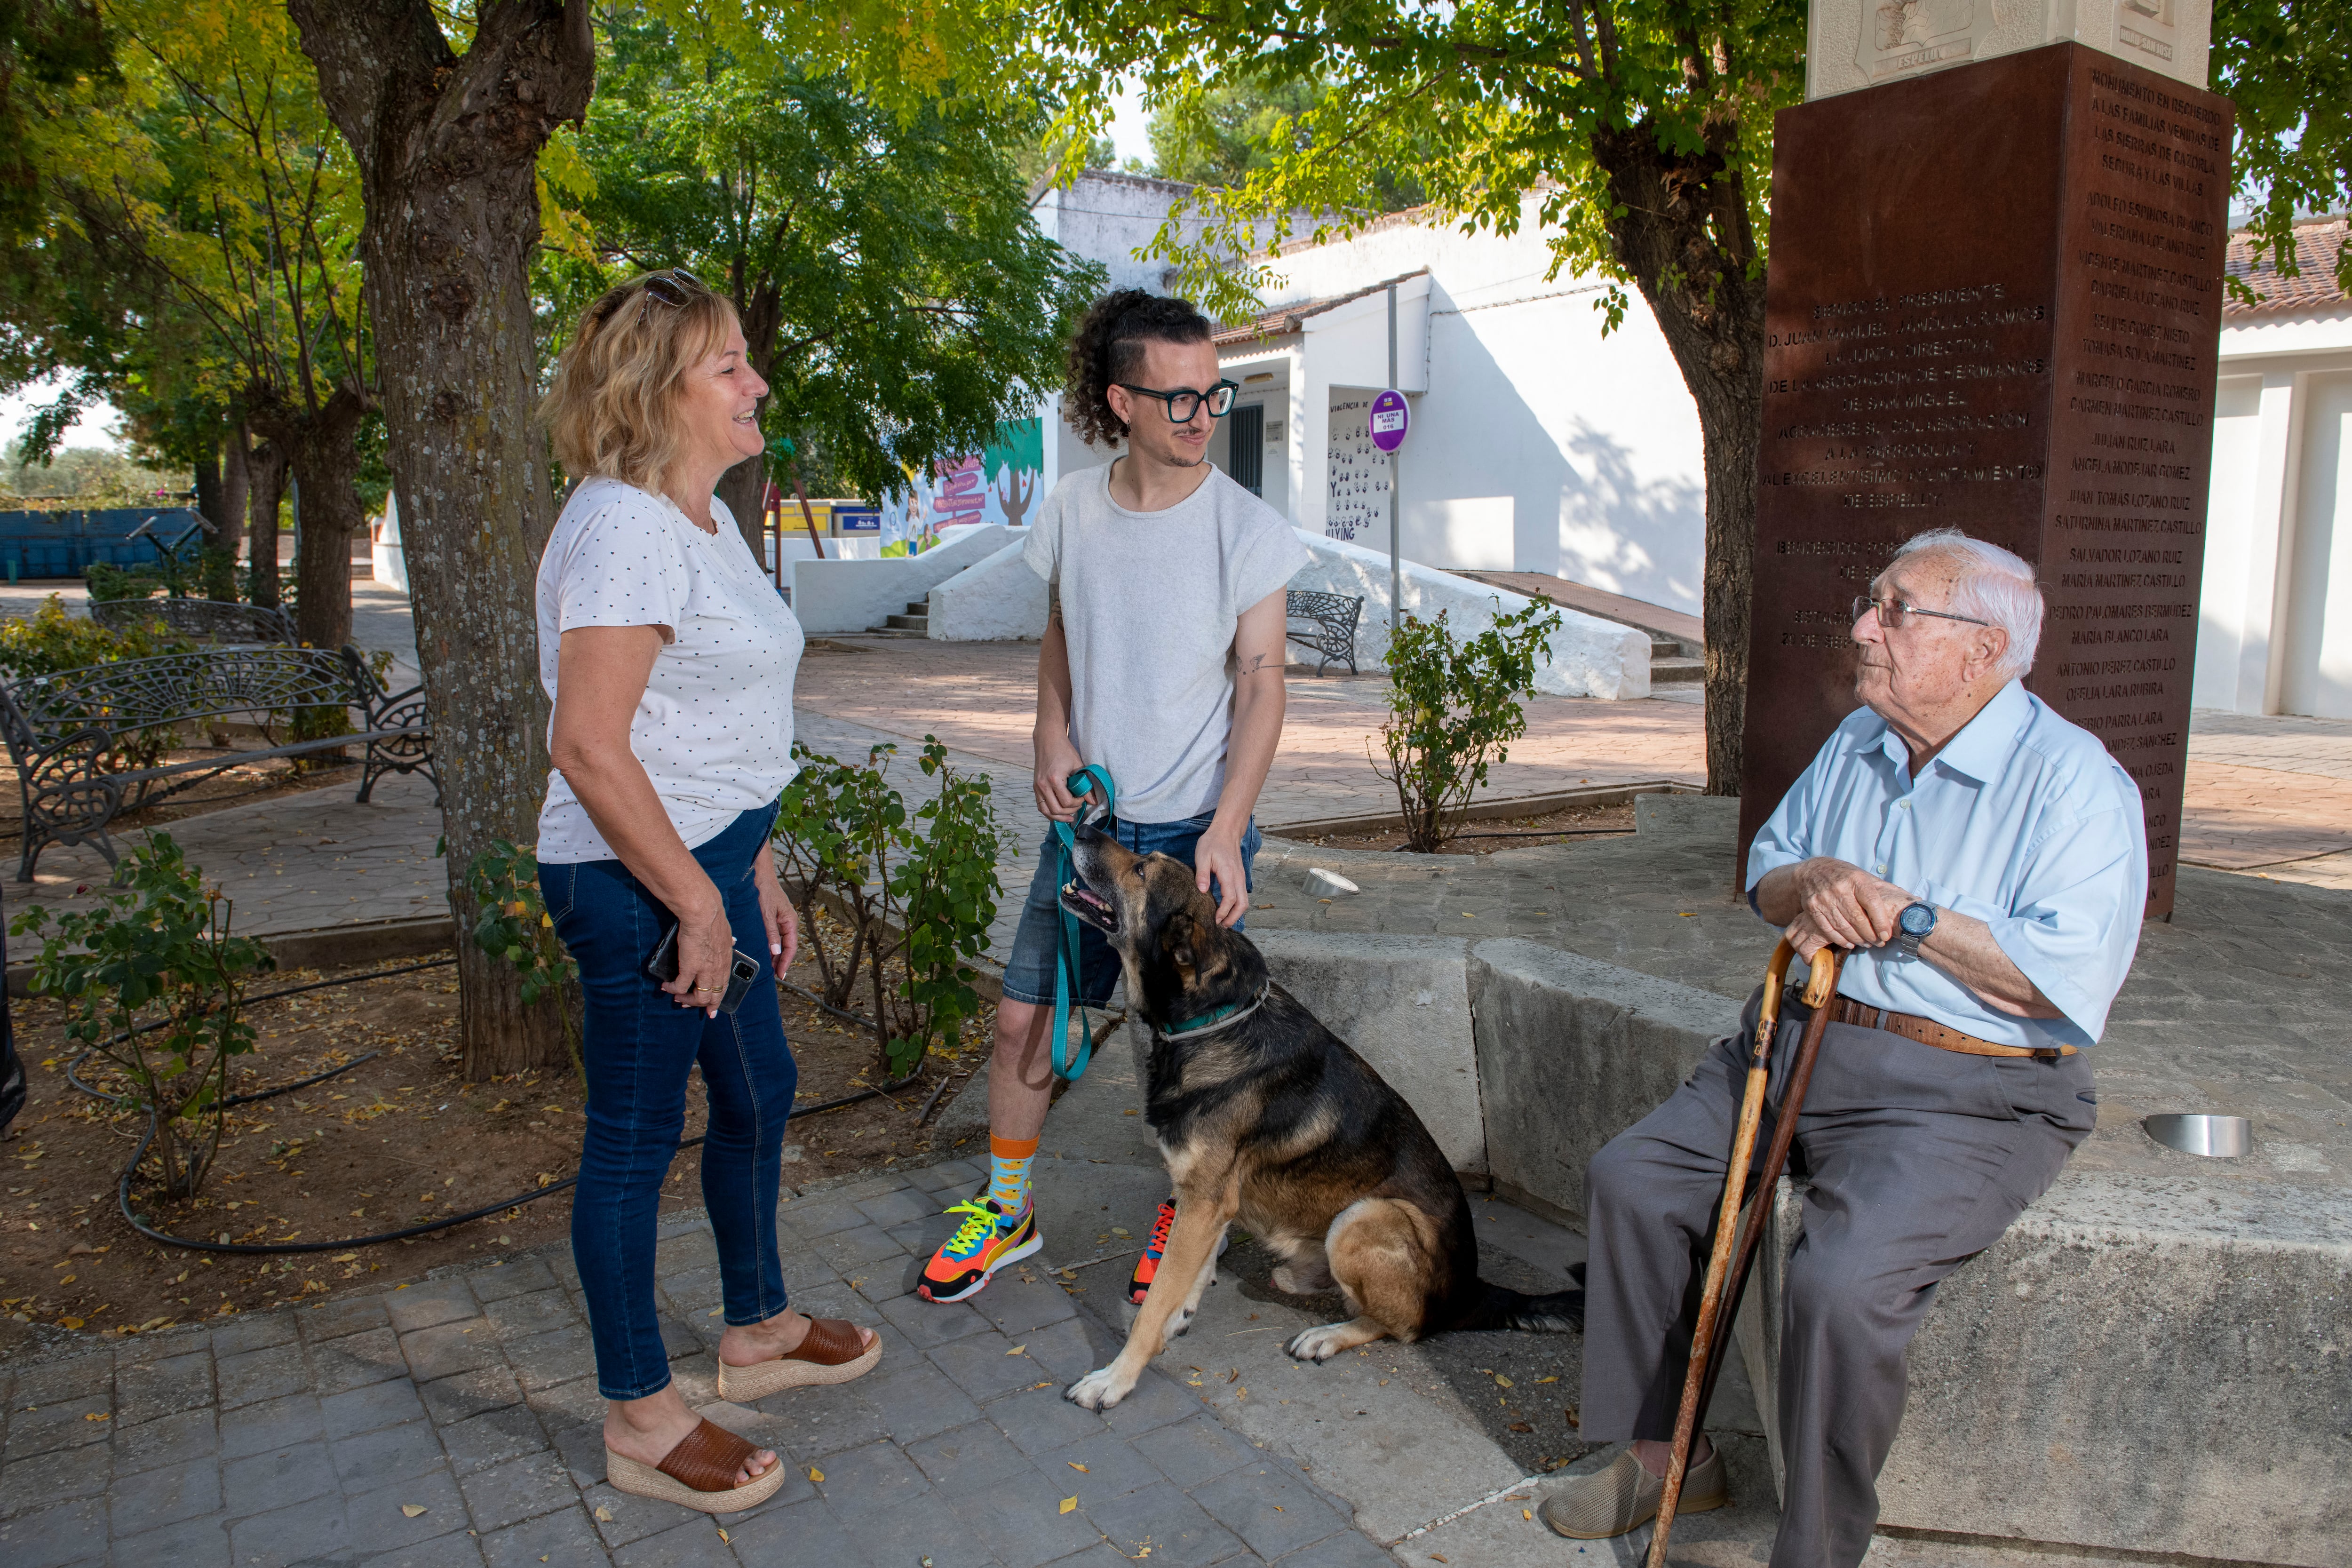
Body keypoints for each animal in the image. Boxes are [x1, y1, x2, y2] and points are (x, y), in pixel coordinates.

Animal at [1063, 827, 1581, 1420]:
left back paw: (1329, 1335)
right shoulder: (1207, 1203)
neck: (1211, 1022)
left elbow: (1153, 1306)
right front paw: (1179, 1316)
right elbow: (1189, 1277)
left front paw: (1116, 1378)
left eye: (1141, 869)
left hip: (1363, 1217)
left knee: (1405, 1328)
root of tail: (1472, 1290)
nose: (1082, 826)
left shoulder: (1203, 1201)